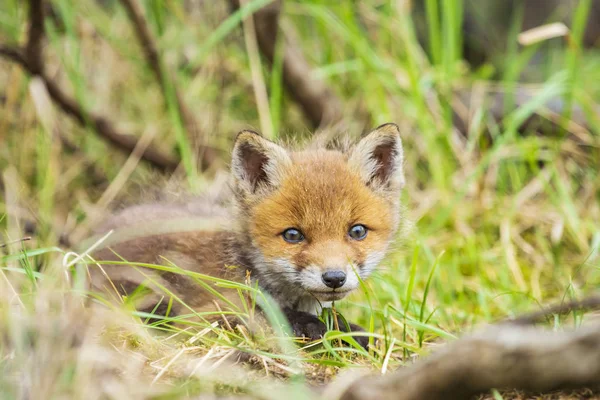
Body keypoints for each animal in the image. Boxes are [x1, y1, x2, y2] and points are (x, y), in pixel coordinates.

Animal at [89, 122, 406, 346]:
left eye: (357, 231)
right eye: (293, 235)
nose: (334, 278)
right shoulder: (204, 315)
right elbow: (268, 316)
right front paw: (325, 330)